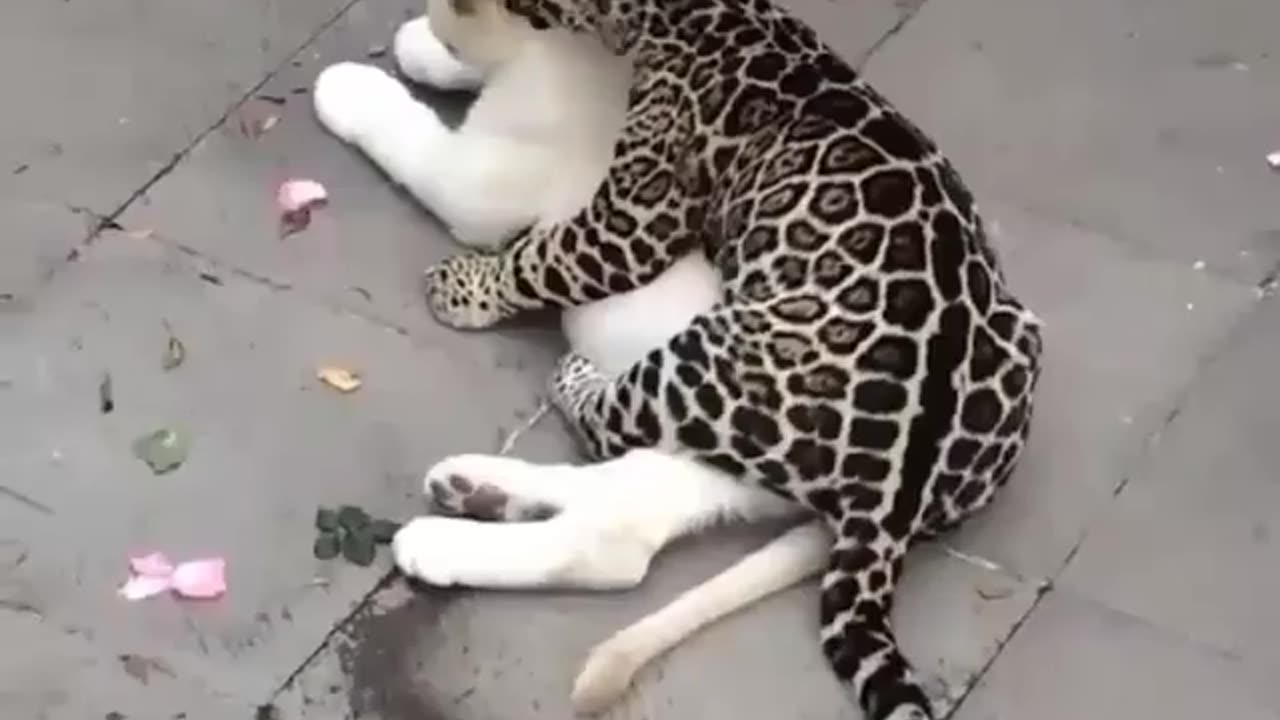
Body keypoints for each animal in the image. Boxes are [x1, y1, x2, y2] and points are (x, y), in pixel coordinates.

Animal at [312, 0, 1039, 712]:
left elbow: (416, 141)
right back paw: (476, 487)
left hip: (700, 422)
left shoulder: (485, 180)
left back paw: (444, 539)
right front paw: (422, 47)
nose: (436, 19)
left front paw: (351, 85)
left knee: (614, 537)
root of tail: (903, 499)